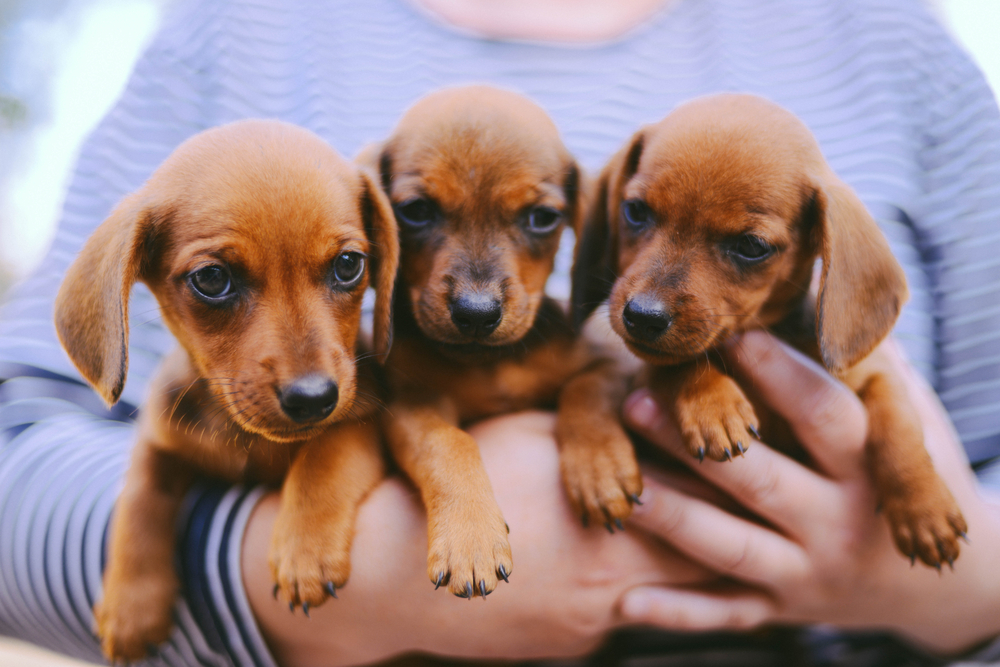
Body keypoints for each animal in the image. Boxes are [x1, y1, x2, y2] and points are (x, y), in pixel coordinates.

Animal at [54, 121, 398, 664]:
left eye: (349, 265)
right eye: (212, 279)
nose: (313, 398)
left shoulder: (363, 417)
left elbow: (324, 455)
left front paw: (304, 550)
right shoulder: (158, 443)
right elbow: (139, 499)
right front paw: (130, 603)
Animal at [366, 85, 640, 600]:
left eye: (543, 217)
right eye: (416, 211)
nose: (476, 314)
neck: (490, 364)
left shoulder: (610, 363)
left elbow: (587, 392)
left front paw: (601, 466)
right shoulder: (411, 405)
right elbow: (447, 443)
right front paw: (469, 535)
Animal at [576, 91, 972, 568]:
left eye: (751, 247)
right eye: (635, 211)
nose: (642, 316)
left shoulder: (879, 375)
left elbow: (898, 425)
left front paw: (923, 507)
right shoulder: (648, 367)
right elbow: (677, 363)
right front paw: (713, 403)